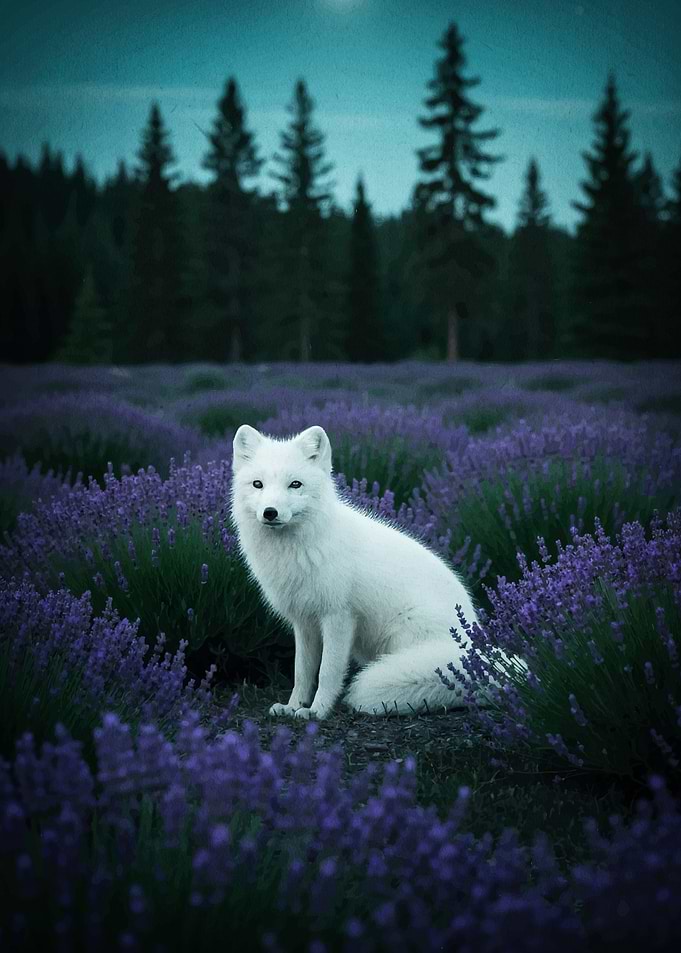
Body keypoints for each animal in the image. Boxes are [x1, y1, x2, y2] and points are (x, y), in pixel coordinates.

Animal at [231, 423, 482, 720]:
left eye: (295, 484)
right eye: (258, 484)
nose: (270, 512)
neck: (298, 549)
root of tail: (480, 653)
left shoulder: (339, 617)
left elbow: (327, 673)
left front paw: (317, 711)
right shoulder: (304, 622)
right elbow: (302, 672)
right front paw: (293, 706)